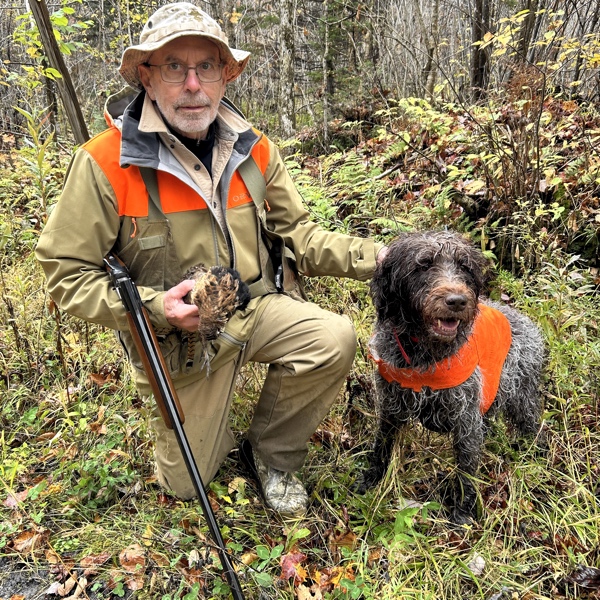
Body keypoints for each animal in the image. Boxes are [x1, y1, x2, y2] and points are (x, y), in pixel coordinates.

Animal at [358, 232, 548, 524]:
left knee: (531, 425)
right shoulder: (392, 405)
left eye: (464, 267)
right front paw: (372, 478)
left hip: (521, 397)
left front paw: (463, 511)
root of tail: (525, 320)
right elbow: (382, 444)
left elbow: (466, 469)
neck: (424, 354)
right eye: (423, 265)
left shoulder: (465, 420)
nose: (457, 301)